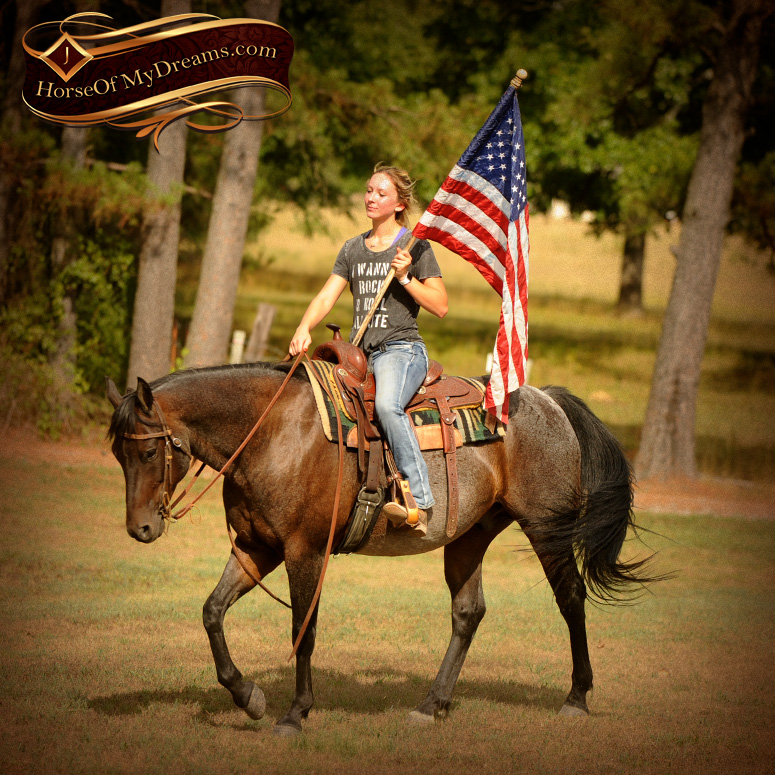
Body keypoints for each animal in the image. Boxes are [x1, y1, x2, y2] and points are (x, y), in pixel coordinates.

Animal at [106, 362, 652, 732]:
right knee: (468, 613)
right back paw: (432, 705)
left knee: (571, 600)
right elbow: (212, 612)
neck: (272, 431)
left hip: (546, 527)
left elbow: (303, 631)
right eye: (117, 453)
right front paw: (248, 696)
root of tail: (549, 400)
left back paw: (576, 698)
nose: (140, 529)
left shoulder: (304, 551)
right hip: (470, 535)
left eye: (149, 451)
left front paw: (294, 713)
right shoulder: (256, 547)